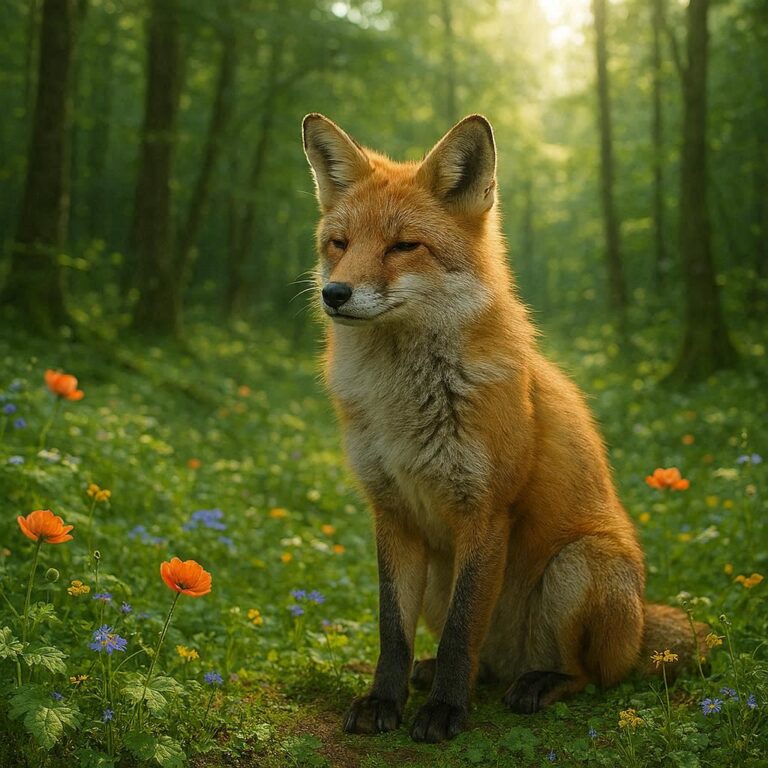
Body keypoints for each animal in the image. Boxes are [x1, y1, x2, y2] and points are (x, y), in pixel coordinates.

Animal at [301, 113, 705, 743]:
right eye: (338, 244)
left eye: (403, 246)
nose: (334, 293)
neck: (404, 404)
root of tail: (641, 631)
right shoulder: (391, 511)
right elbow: (393, 631)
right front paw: (384, 701)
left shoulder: (486, 509)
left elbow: (462, 630)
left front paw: (445, 712)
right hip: (443, 578)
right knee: (481, 662)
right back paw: (447, 675)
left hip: (577, 566)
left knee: (585, 674)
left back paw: (537, 683)